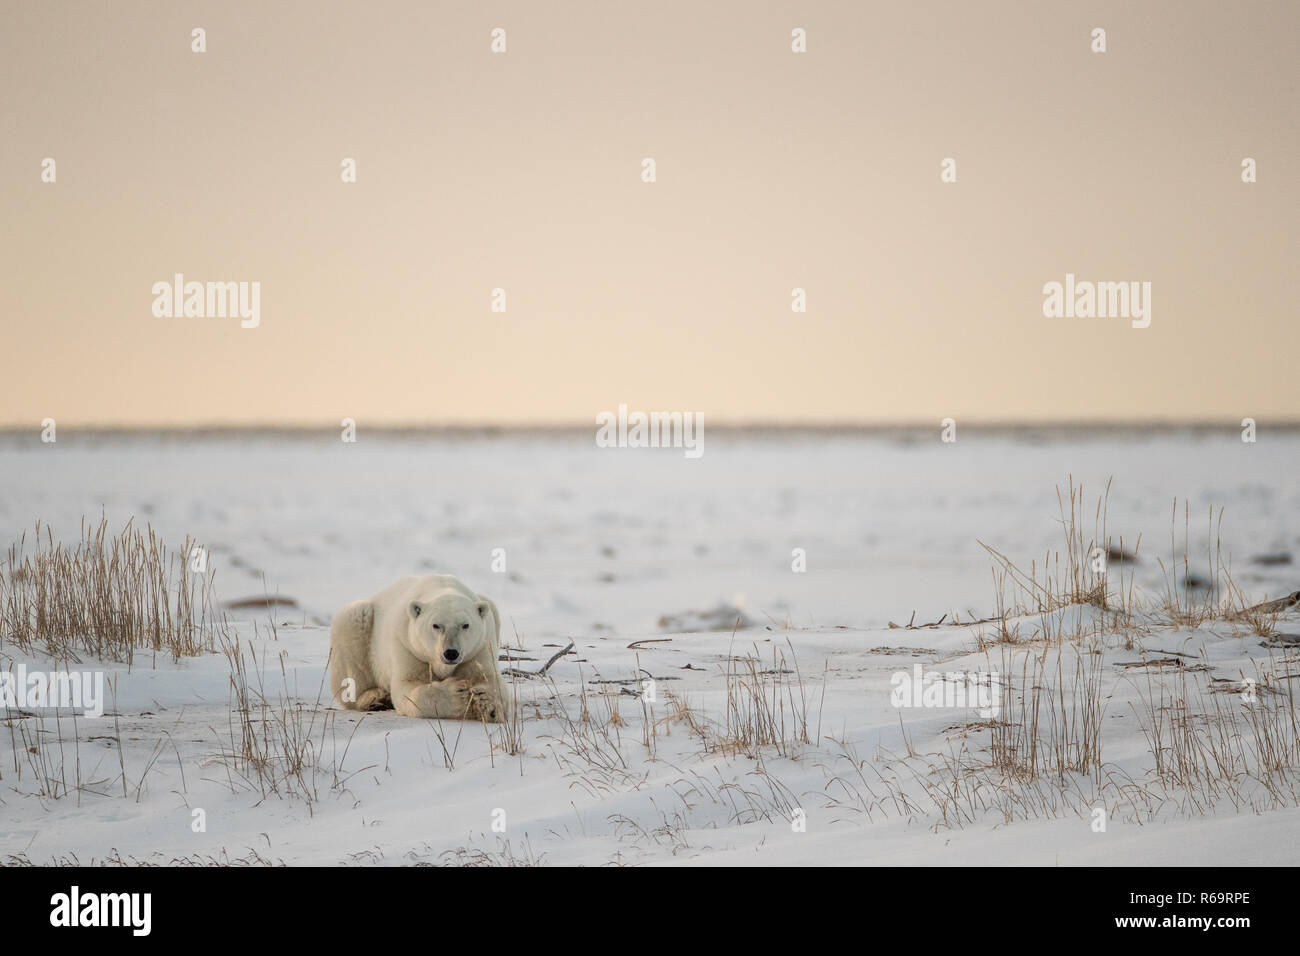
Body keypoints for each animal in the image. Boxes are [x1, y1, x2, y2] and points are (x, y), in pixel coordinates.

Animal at [327, 574, 509, 723]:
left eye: (465, 625)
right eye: (436, 625)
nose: (451, 653)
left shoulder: (480, 646)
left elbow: (489, 678)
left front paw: (487, 702)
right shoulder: (407, 644)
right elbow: (408, 687)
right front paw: (458, 692)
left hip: (492, 611)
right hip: (359, 627)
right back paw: (375, 698)